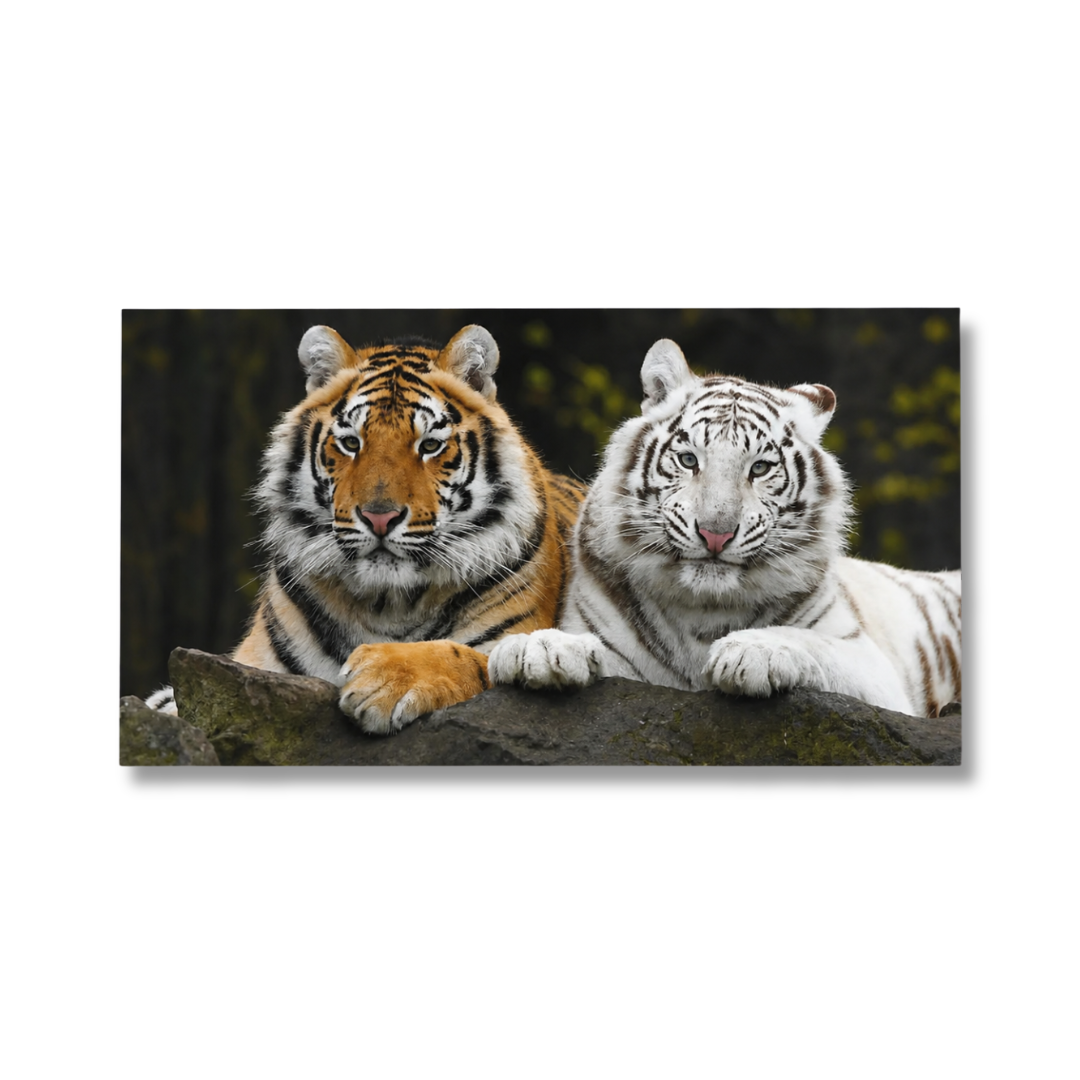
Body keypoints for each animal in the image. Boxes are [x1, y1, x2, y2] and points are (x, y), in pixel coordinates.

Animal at [146, 323, 585, 735]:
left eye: (429, 446)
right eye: (351, 443)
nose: (379, 518)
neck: (387, 604)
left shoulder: (517, 635)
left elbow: (470, 659)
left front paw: (382, 683)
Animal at [488, 337, 961, 719]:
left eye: (761, 468)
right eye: (688, 460)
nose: (716, 532)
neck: (703, 612)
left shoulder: (872, 668)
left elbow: (809, 641)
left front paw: (750, 652)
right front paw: (537, 648)